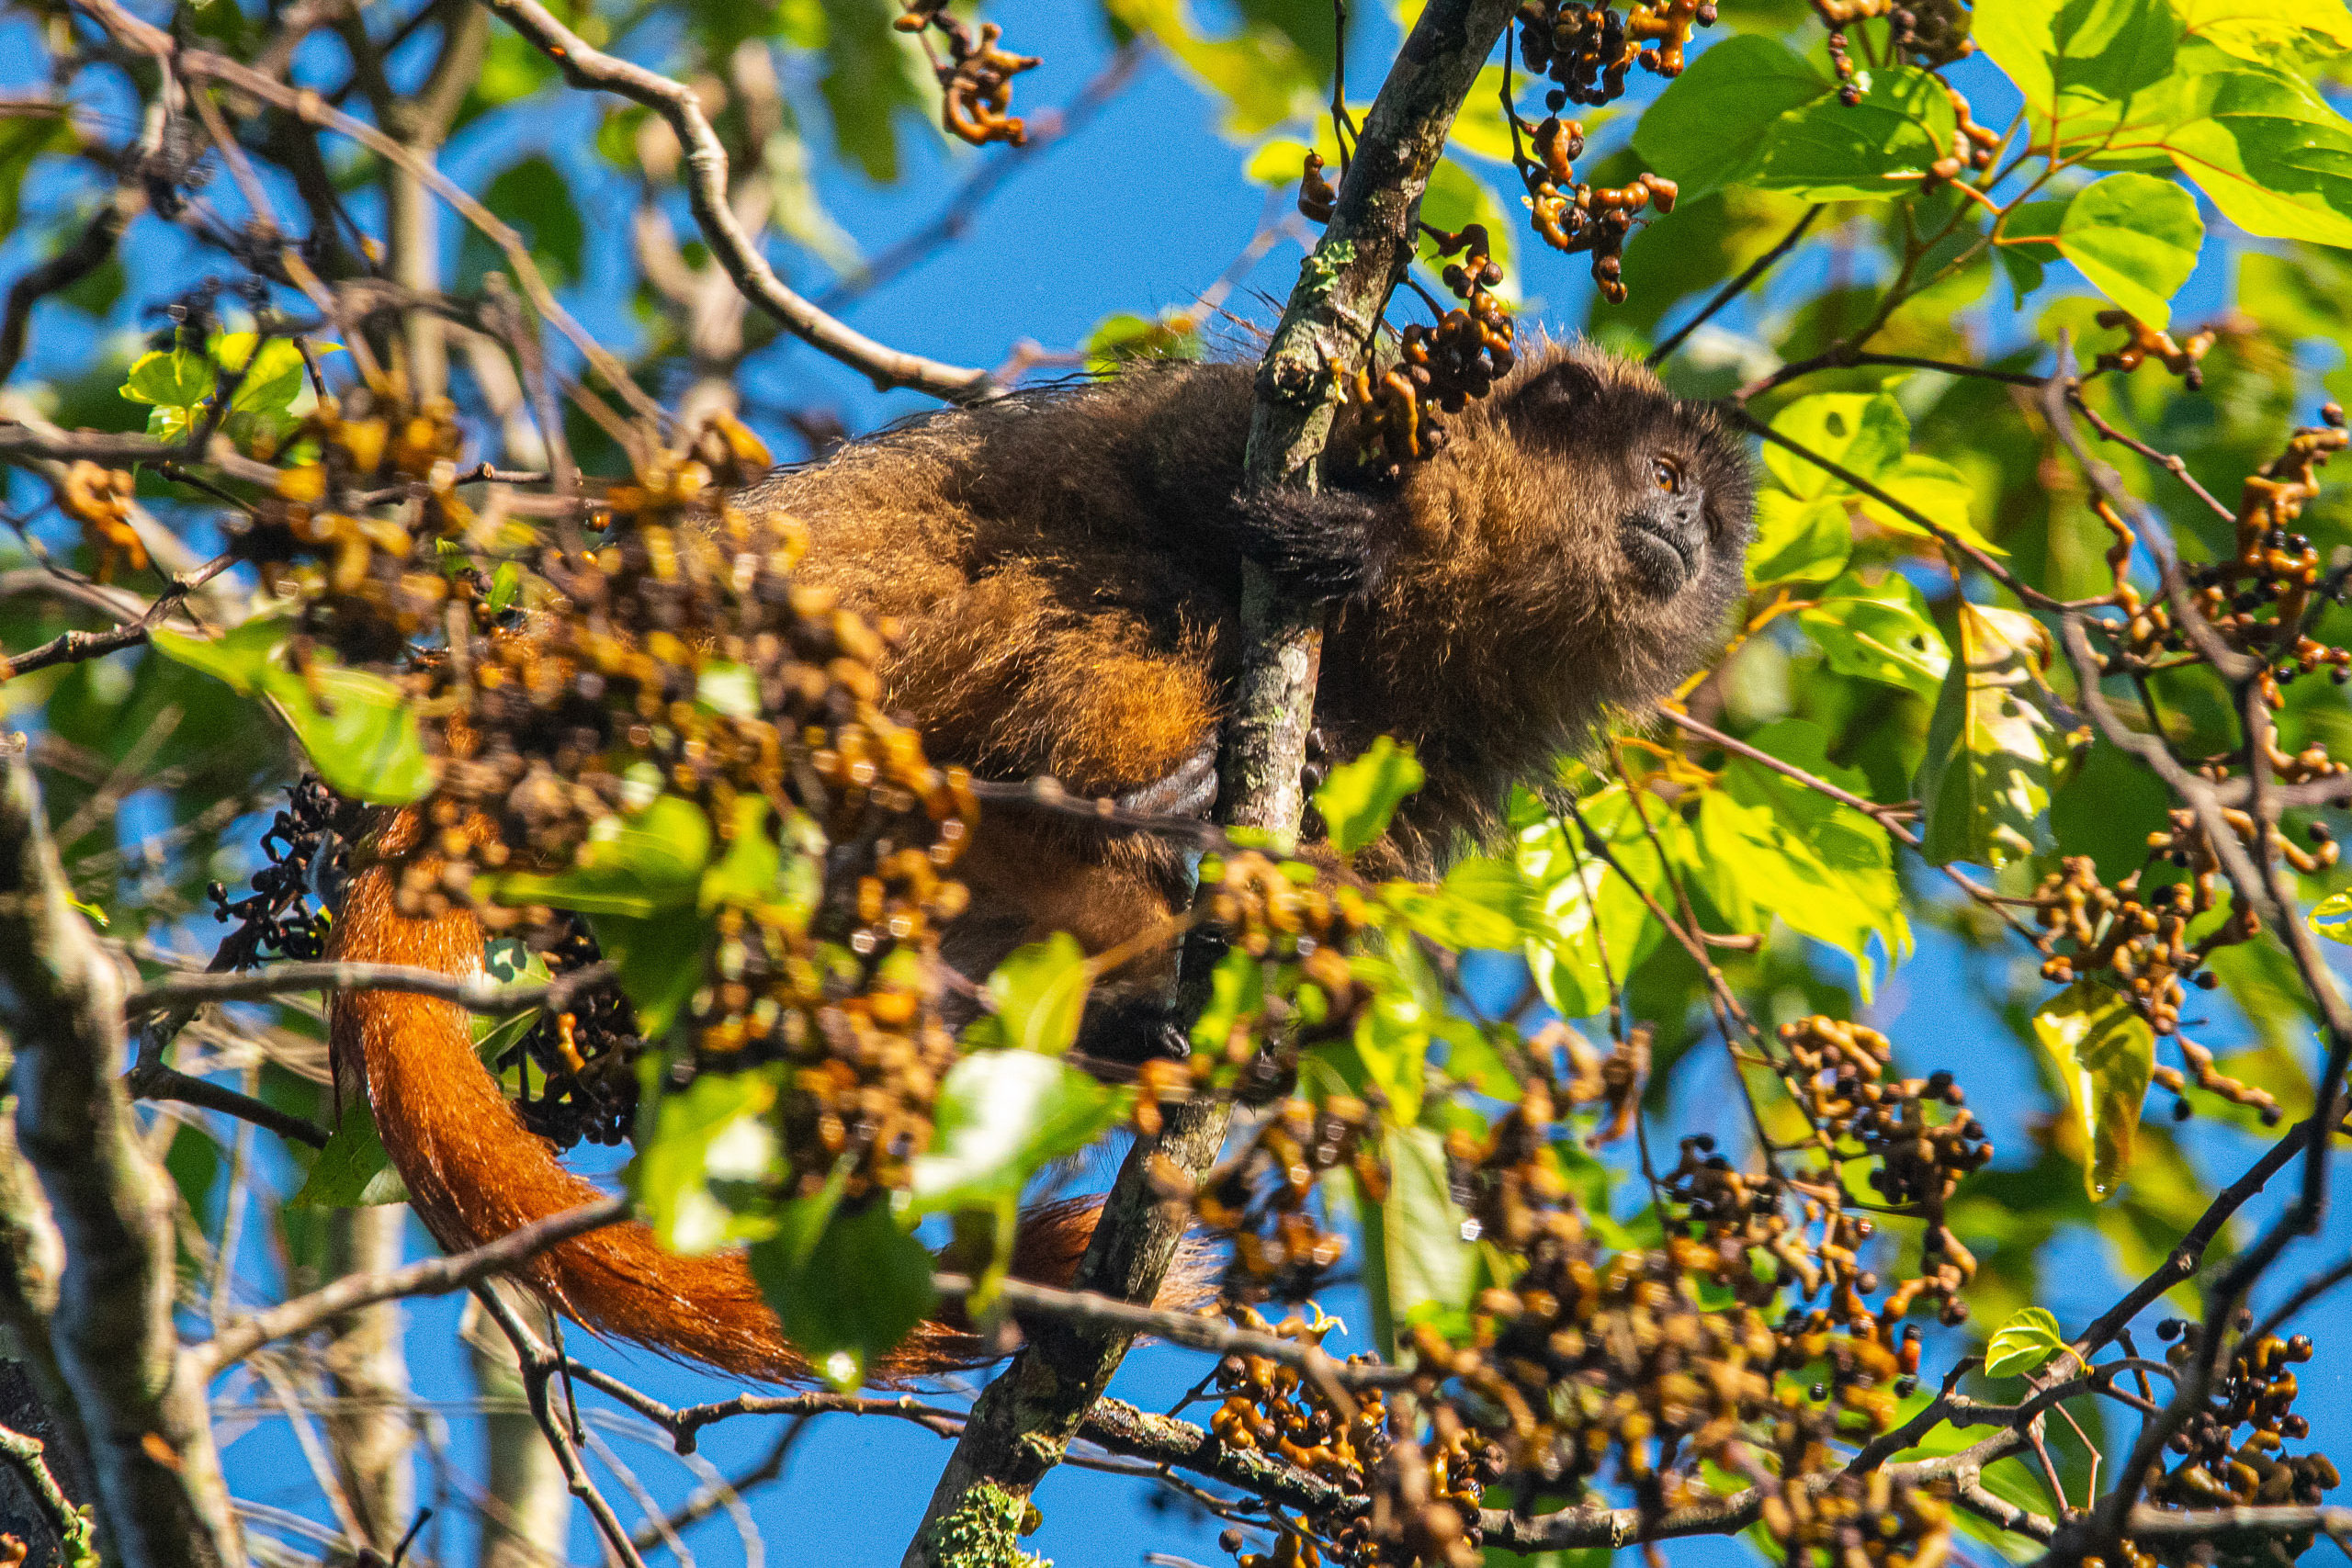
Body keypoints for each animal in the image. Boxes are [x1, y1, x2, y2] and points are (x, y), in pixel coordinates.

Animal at [325, 338, 1755, 1384]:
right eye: (1664, 474)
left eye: (1704, 507)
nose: (1691, 536)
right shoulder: (1336, 404)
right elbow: (1172, 478)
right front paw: (1355, 545)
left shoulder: (1470, 739)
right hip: (856, 626)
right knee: (1115, 586)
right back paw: (1136, 804)